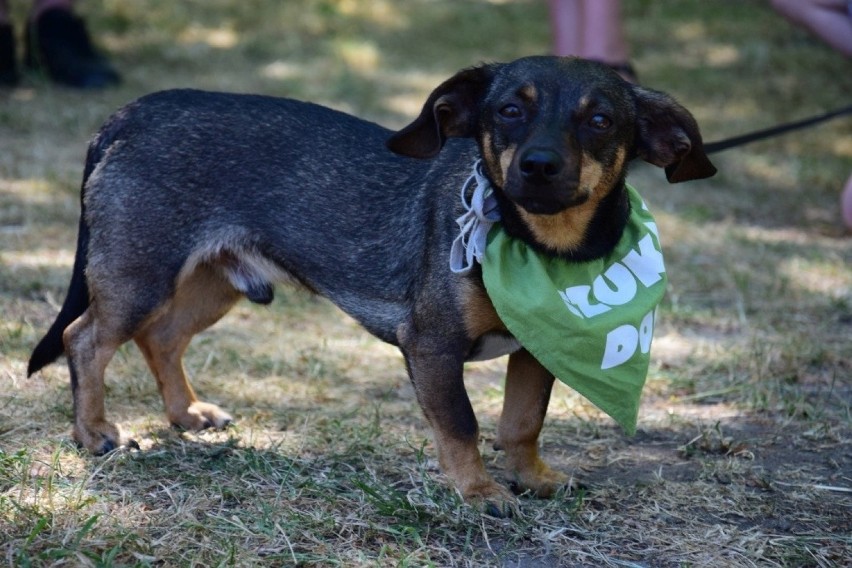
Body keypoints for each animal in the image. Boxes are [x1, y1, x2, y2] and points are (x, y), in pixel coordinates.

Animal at [28, 56, 712, 516]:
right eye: (508, 111)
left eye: (600, 120)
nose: (539, 166)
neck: (537, 242)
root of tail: (130, 115)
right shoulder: (432, 345)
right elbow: (462, 424)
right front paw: (479, 491)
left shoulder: (536, 352)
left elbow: (522, 422)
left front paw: (532, 477)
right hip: (139, 274)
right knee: (85, 339)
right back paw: (95, 434)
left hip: (211, 283)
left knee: (161, 338)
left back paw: (186, 413)